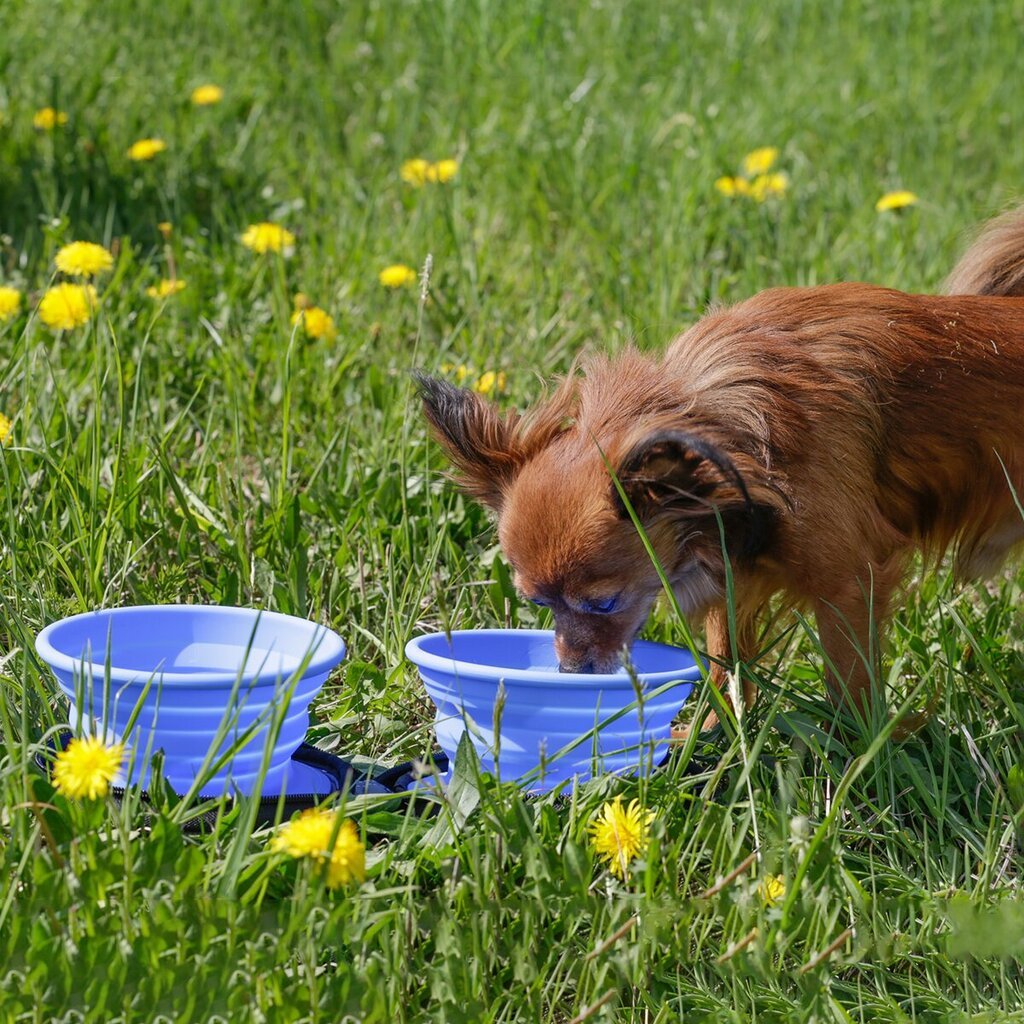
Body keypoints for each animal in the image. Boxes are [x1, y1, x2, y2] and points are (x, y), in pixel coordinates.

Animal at [411, 203, 1024, 729]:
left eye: (603, 603)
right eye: (539, 605)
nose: (569, 671)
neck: (730, 430)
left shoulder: (848, 587)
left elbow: (849, 683)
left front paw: (858, 752)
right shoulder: (730, 574)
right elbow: (727, 668)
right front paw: (715, 740)